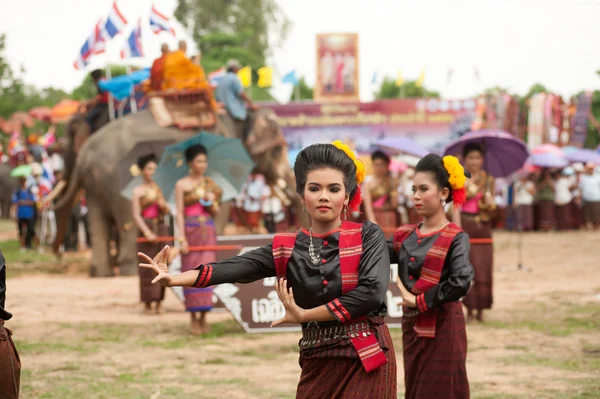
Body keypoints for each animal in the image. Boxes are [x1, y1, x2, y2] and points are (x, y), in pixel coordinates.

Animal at [52, 109, 302, 278]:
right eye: (277, 149)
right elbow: (221, 208)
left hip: (96, 184)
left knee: (97, 219)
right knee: (127, 220)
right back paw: (130, 271)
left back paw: (100, 273)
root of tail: (85, 154)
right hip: (116, 181)